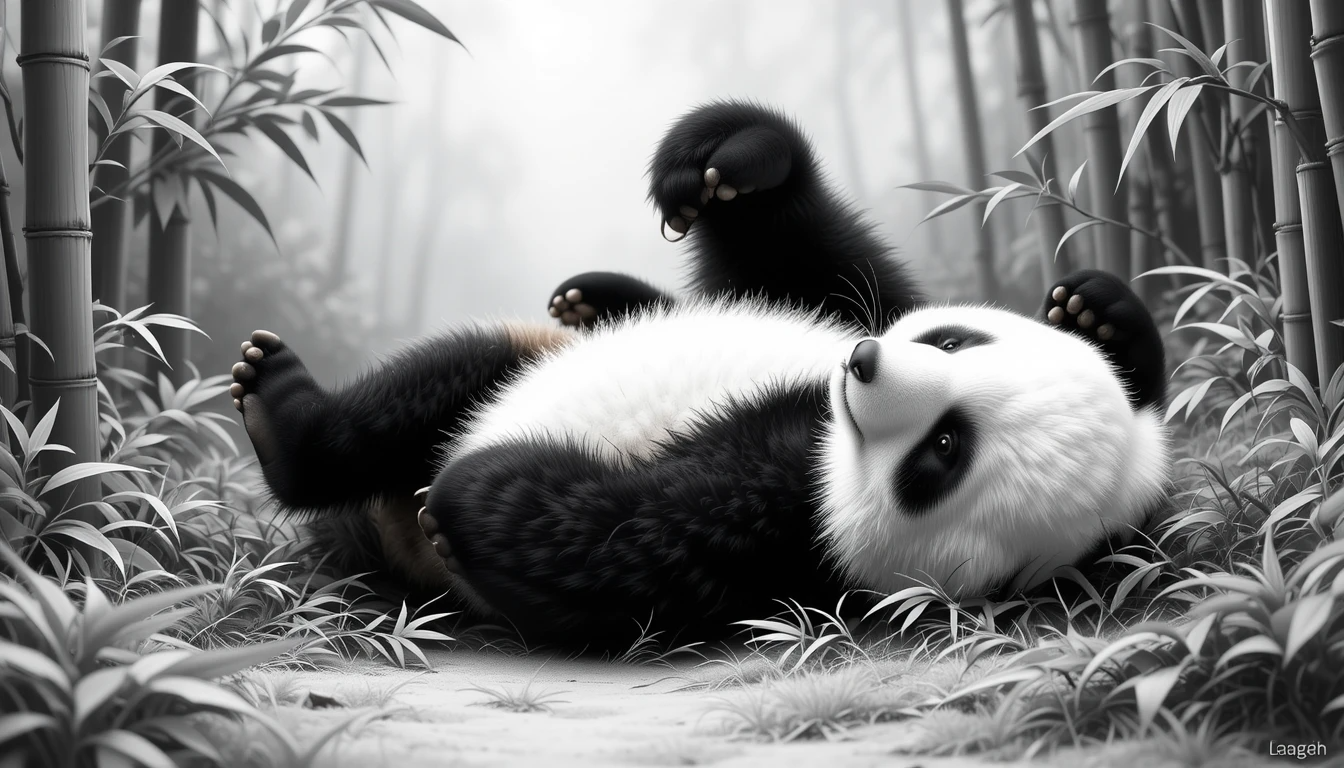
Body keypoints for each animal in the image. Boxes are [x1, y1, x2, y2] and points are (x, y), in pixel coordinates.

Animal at [228, 100, 1172, 650]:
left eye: (944, 452)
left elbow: (623, 541)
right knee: (447, 376)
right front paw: (728, 160)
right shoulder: (839, 310)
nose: (862, 366)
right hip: (520, 354)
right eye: (954, 343)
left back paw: (302, 436)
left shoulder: (792, 530)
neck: (822, 419)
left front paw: (468, 499)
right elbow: (818, 268)